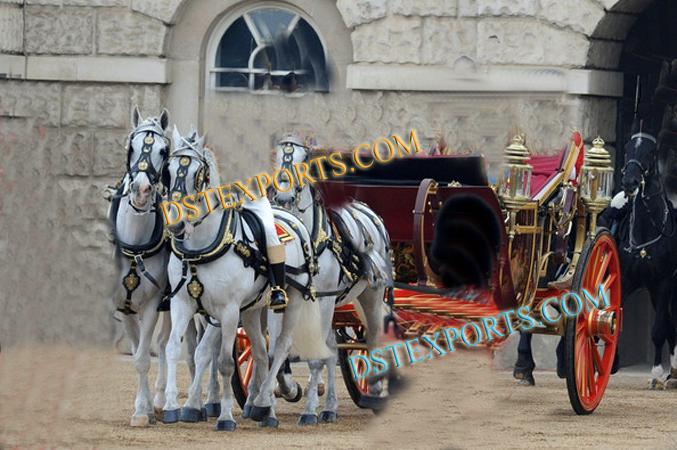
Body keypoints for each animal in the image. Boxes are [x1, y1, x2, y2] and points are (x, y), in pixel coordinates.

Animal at [160, 128, 326, 430]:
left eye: (198, 174)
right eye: (167, 170)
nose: (176, 224)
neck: (203, 247)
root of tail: (289, 217)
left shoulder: (227, 311)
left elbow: (225, 362)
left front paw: (224, 416)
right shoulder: (183, 304)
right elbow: (174, 350)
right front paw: (173, 407)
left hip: (293, 300)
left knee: (280, 347)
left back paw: (265, 403)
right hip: (251, 311)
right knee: (260, 351)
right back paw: (263, 407)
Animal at [270, 135, 390, 424]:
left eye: (303, 161)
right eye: (277, 159)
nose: (283, 195)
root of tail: (368, 212)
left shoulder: (322, 299)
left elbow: (316, 357)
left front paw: (309, 410)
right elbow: (278, 349)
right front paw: (287, 390)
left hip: (370, 295)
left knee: (373, 336)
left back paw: (375, 390)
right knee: (333, 349)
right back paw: (330, 408)